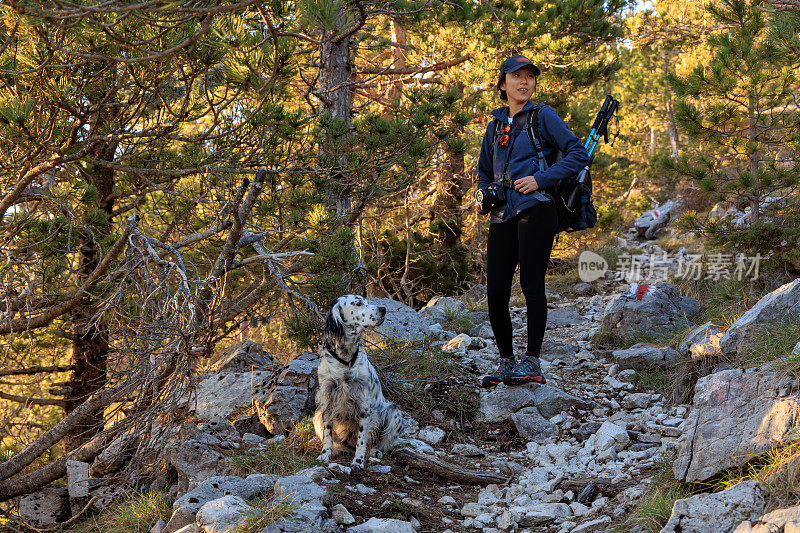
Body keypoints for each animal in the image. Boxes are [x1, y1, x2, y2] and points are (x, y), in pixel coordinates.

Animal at [312, 296, 406, 470]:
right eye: (358, 303)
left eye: (367, 301)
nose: (383, 309)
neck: (346, 360)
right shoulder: (327, 398)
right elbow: (328, 434)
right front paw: (324, 455)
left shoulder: (364, 404)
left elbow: (362, 439)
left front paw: (358, 461)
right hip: (316, 415)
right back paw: (337, 449)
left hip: (394, 411)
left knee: (381, 443)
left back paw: (375, 451)